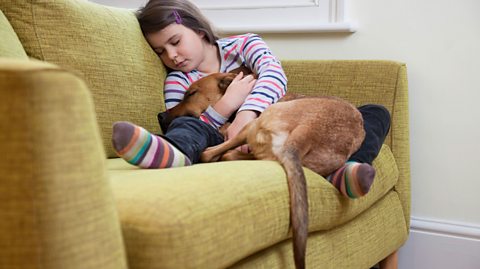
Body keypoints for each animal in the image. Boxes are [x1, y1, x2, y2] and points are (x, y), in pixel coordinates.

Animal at [158, 70, 364, 266]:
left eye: (192, 93)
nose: (160, 116)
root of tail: (306, 132)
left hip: (251, 125)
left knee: (212, 153)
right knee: (230, 155)